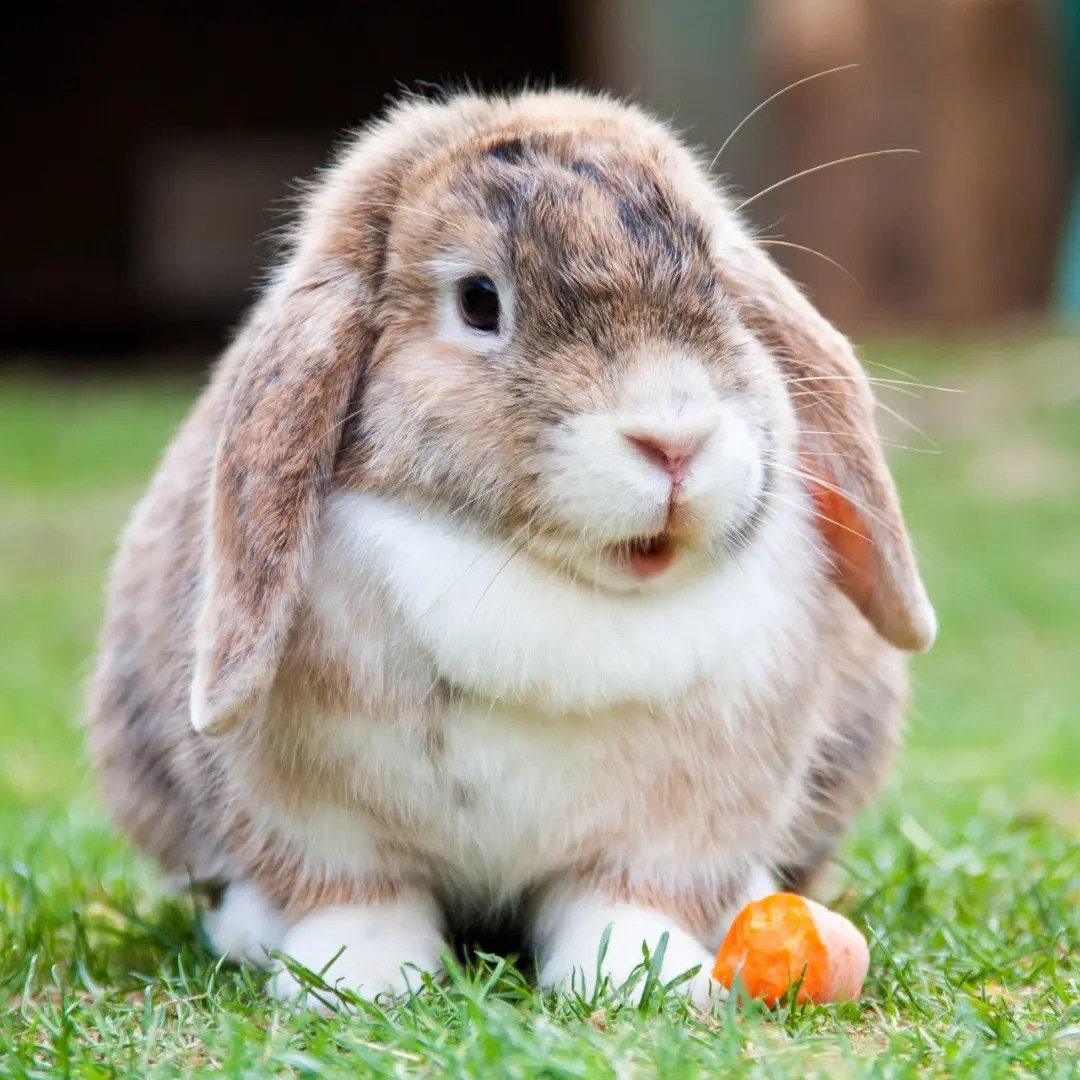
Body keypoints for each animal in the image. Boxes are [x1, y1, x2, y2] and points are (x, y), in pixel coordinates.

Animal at [86, 88, 935, 1011]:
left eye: (716, 280)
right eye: (479, 301)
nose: (675, 441)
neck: (546, 582)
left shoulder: (676, 828)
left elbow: (626, 900)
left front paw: (641, 980)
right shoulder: (318, 824)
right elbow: (358, 896)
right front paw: (359, 981)